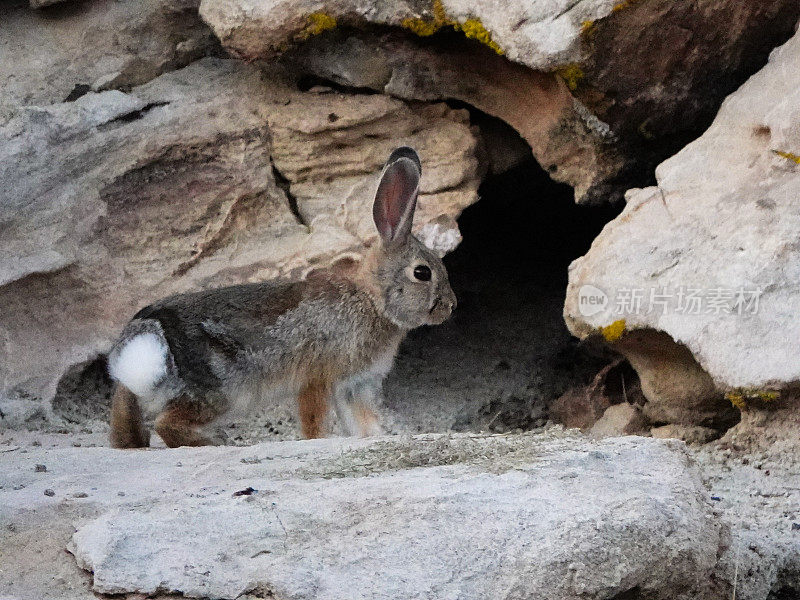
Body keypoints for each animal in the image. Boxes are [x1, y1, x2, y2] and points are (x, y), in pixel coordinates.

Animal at [106, 144, 456, 446]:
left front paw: (377, 436)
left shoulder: (355, 385)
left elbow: (362, 422)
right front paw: (319, 441)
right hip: (219, 392)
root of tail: (142, 348)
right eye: (422, 273)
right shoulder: (318, 376)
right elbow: (315, 418)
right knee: (167, 424)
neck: (372, 301)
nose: (450, 306)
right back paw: (215, 442)